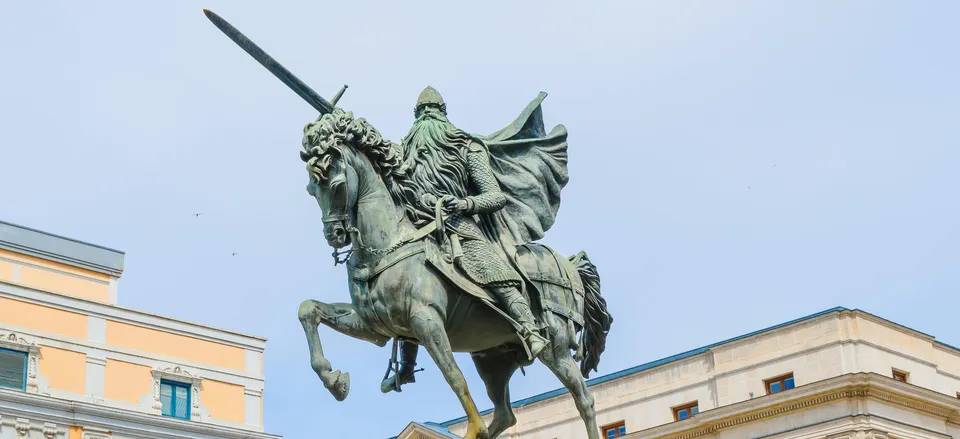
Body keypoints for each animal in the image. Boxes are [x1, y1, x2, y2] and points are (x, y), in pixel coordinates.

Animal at [296, 109, 616, 439]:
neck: (387, 245)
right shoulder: (375, 326)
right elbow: (308, 310)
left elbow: (454, 376)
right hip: (493, 357)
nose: (334, 236)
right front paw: (335, 380)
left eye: (336, 184)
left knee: (584, 399)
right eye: (311, 188)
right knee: (505, 415)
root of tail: (570, 264)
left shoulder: (427, 321)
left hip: (557, 347)